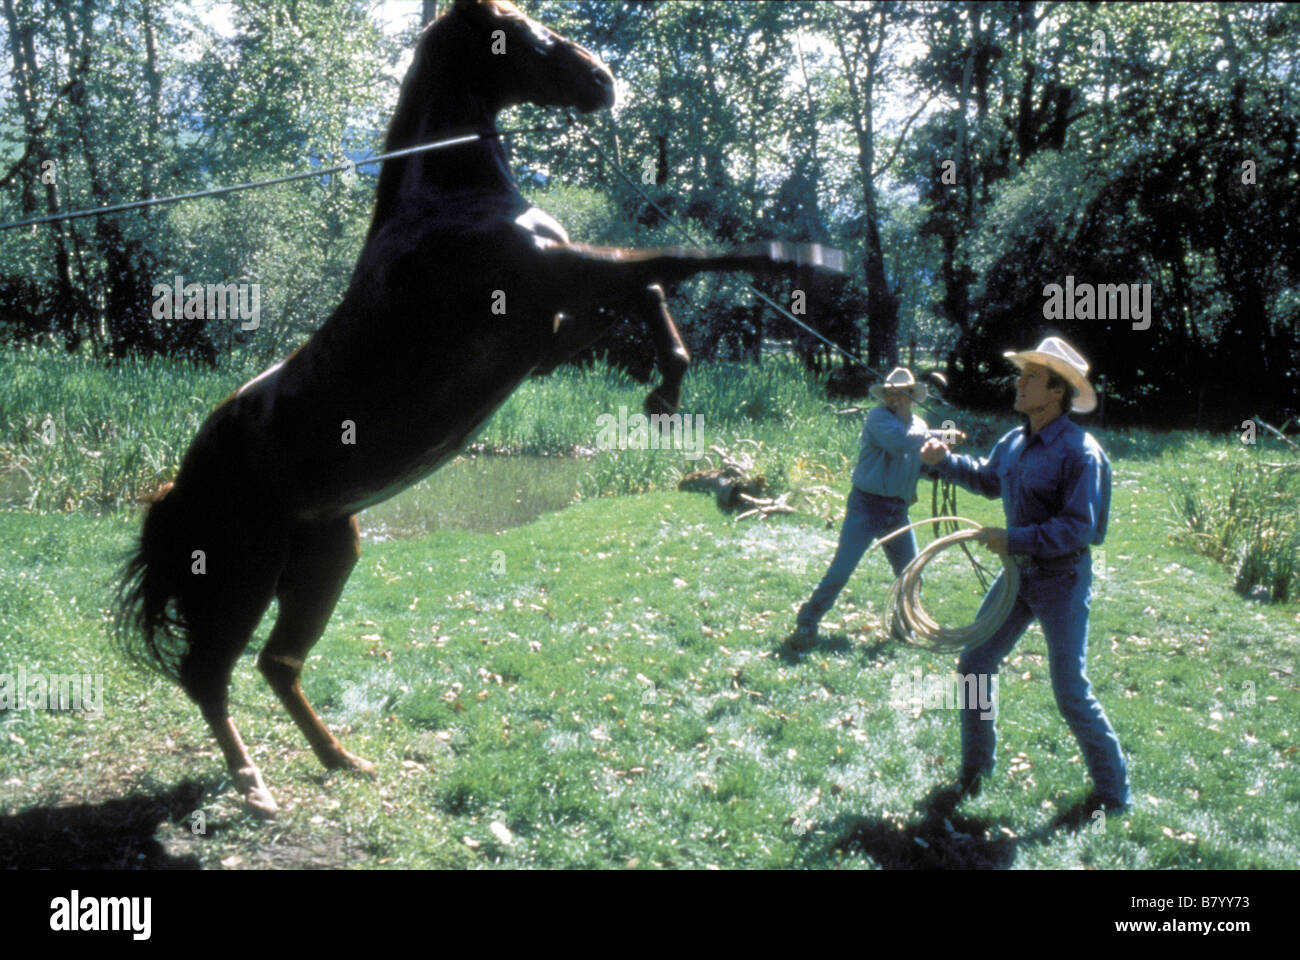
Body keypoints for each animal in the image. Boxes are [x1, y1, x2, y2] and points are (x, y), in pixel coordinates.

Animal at [116, 0, 843, 817]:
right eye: (517, 29)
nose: (603, 81)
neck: (451, 202)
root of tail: (179, 484)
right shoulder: (553, 286)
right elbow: (677, 261)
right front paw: (801, 259)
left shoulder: (548, 333)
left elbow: (649, 285)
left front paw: (666, 391)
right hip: (242, 570)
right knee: (208, 674)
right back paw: (256, 788)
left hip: (328, 555)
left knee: (279, 664)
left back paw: (343, 761)